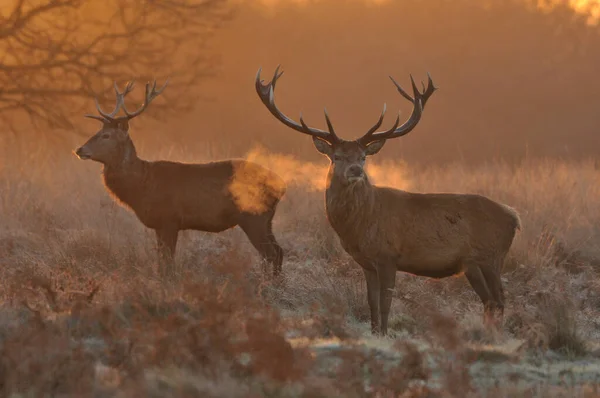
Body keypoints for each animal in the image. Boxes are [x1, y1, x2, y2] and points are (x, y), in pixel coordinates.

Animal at [255, 67, 524, 334]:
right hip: (472, 264)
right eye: (337, 156)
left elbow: (385, 304)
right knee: (490, 301)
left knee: (499, 299)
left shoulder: (388, 256)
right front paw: (375, 332)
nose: (355, 170)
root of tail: (514, 216)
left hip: (491, 256)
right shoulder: (367, 263)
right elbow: (372, 303)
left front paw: (384, 333)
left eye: (363, 156)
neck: (361, 223)